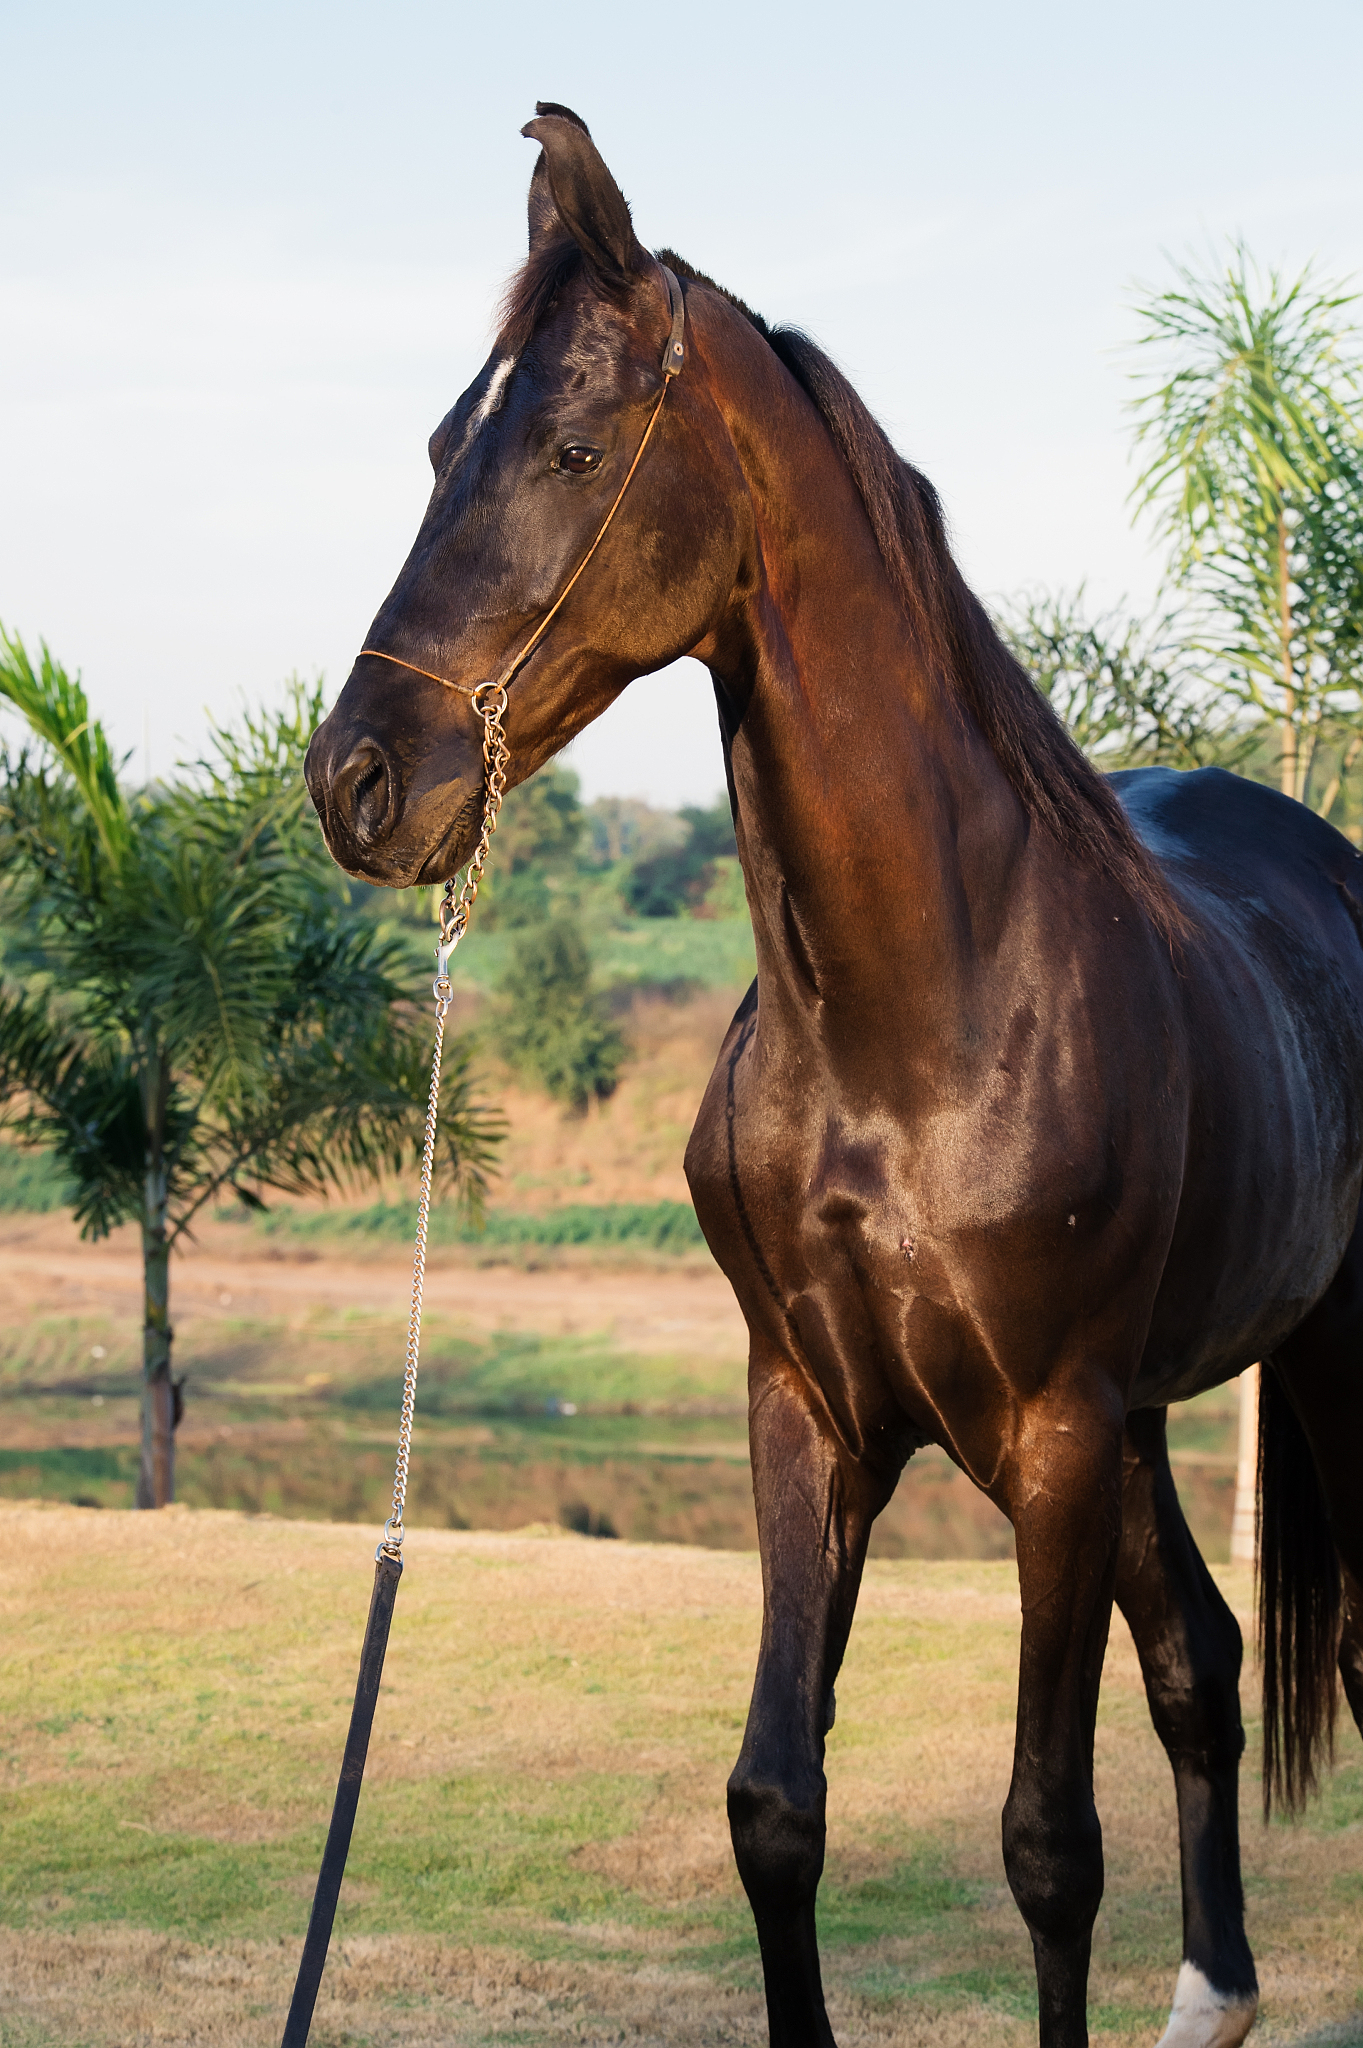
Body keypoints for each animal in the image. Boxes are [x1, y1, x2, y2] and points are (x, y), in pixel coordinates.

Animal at [303, 105, 1363, 2048]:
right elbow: (774, 1804)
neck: (918, 1016)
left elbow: (1045, 1843)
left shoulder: (1046, 1437)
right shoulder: (808, 1411)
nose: (360, 780)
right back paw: (1214, 1991)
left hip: (1295, 1366)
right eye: (433, 444)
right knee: (1198, 1657)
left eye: (569, 446)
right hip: (1149, 1415)